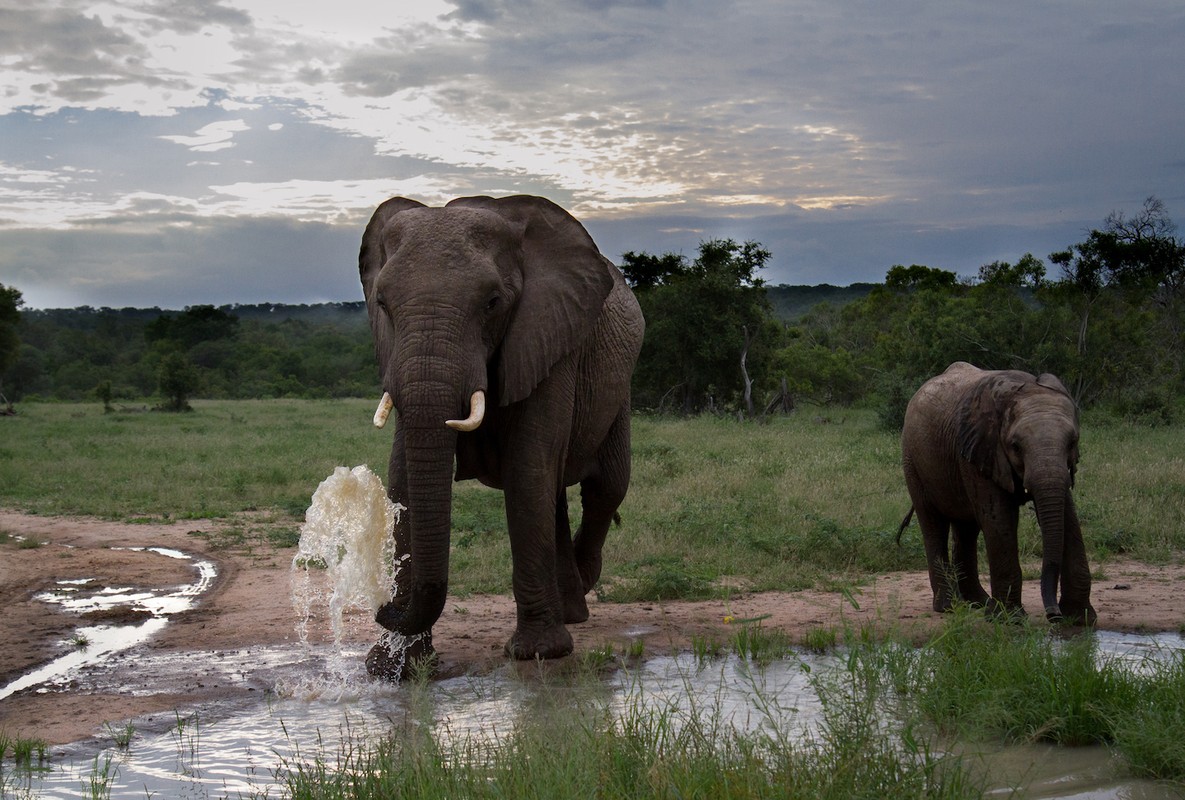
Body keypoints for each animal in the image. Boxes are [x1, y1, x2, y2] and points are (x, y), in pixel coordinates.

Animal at [355, 195, 644, 677]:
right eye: (382, 303)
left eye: (492, 303)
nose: (381, 606)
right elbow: (402, 478)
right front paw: (394, 667)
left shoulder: (548, 336)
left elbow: (527, 469)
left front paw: (539, 653)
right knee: (557, 495)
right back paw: (570, 609)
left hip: (619, 388)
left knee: (605, 487)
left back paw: (579, 598)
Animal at [900, 360, 1094, 625]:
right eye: (1015, 446)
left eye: (1072, 442)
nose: (1053, 615)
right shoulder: (979, 450)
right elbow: (999, 519)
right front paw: (1009, 619)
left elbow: (1068, 517)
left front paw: (1080, 619)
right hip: (913, 460)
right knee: (933, 523)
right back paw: (949, 607)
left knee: (966, 527)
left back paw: (977, 603)